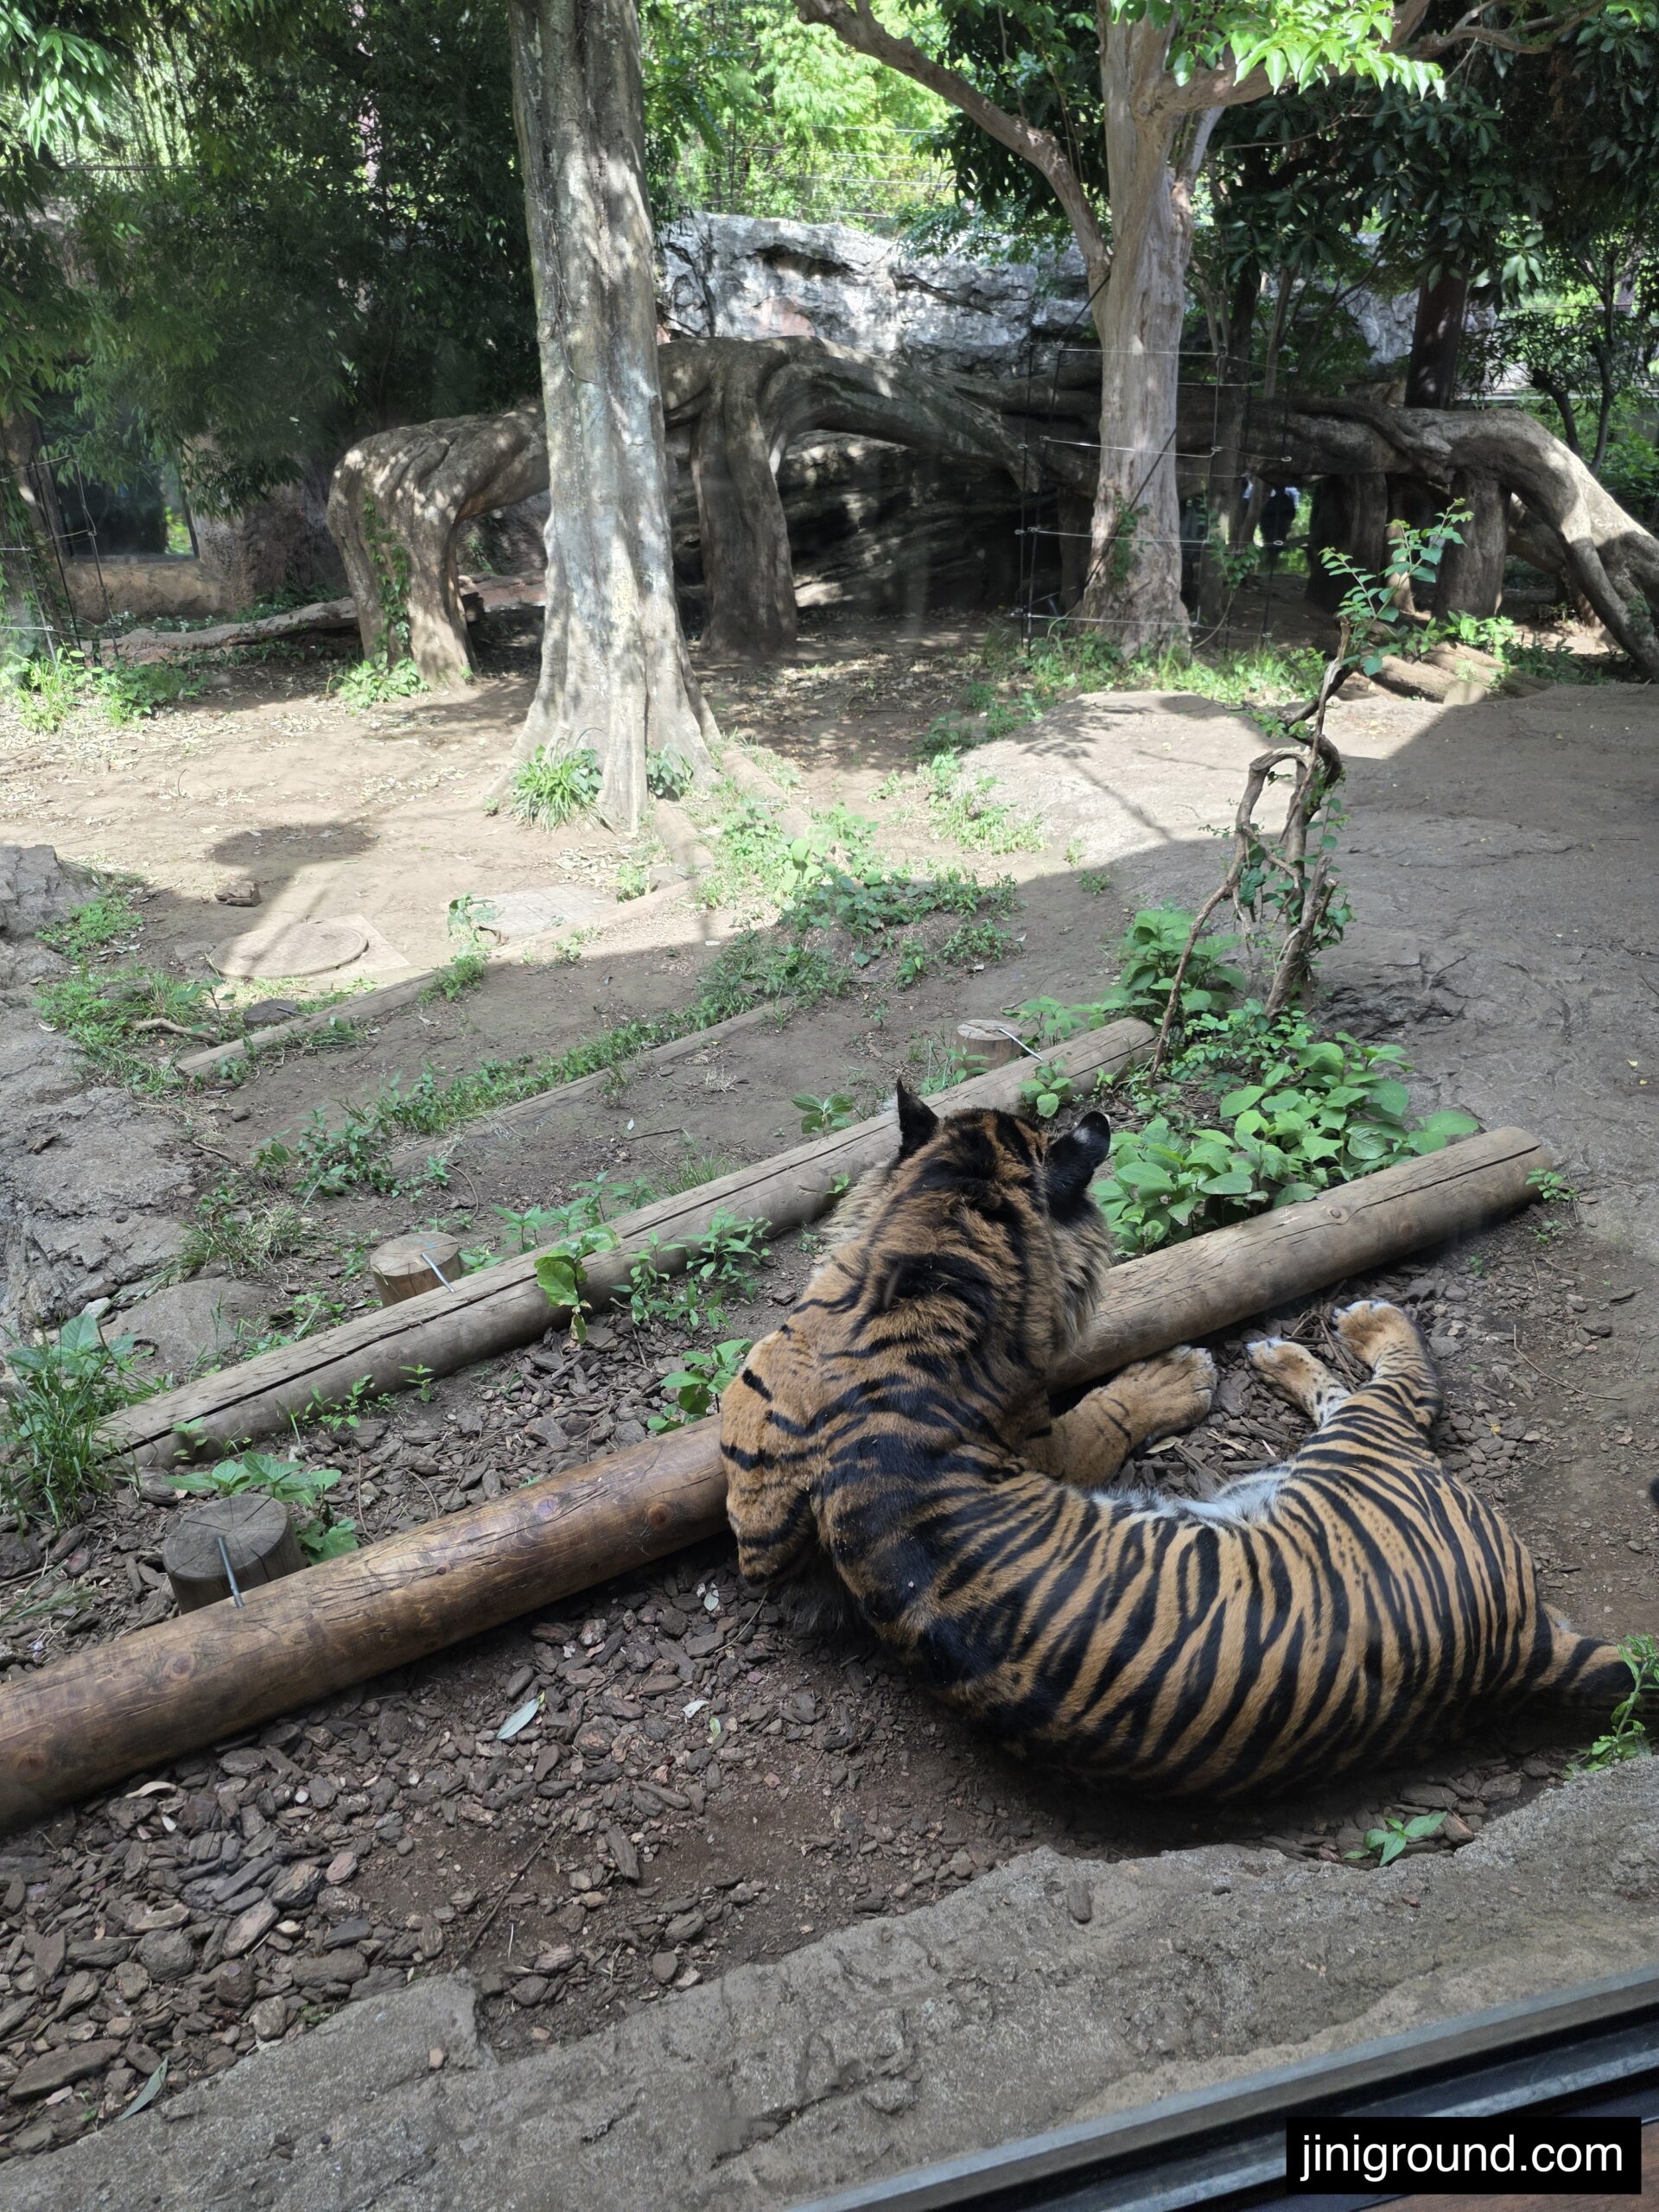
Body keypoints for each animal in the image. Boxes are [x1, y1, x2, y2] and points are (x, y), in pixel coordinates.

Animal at [720, 1083, 1647, 1796]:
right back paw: (1332, 1329)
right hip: (1359, 1456)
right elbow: (1110, 1411)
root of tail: (1526, 1646)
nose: (1094, 1117)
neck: (914, 1266)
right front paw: (1182, 1376)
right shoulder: (1049, 1444)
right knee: (1391, 1390)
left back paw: (1288, 1346)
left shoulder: (774, 1388)